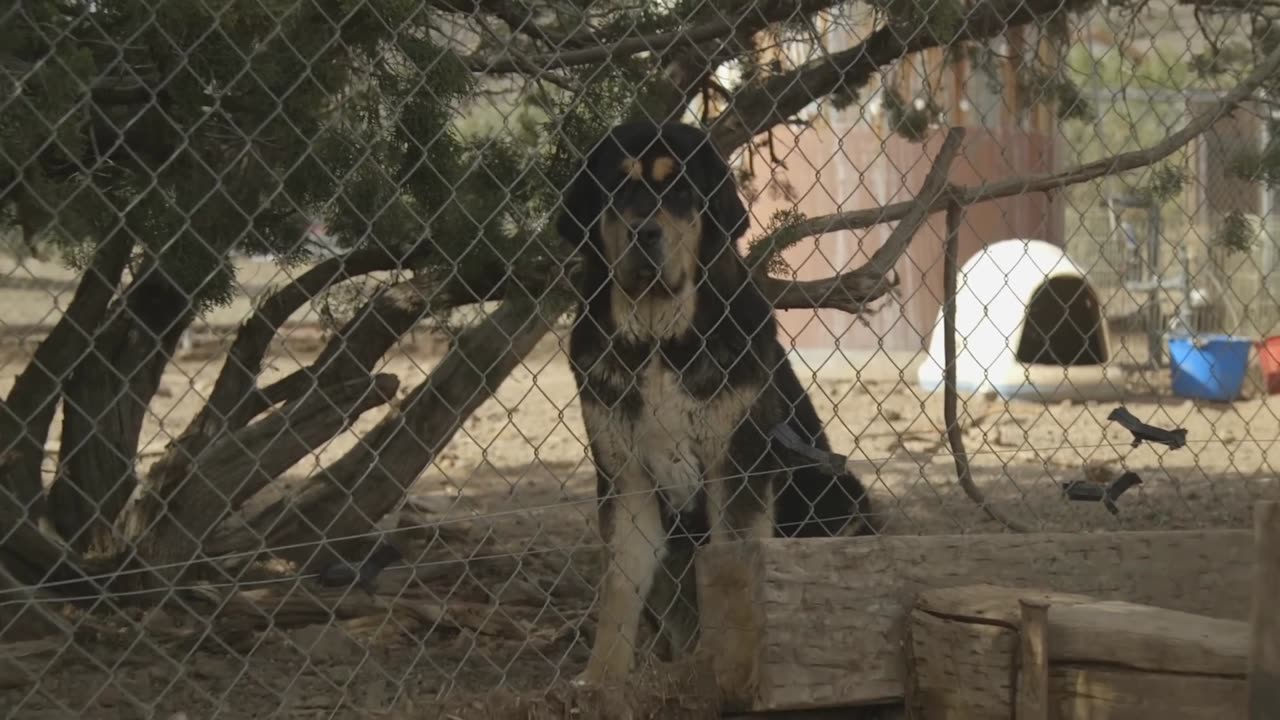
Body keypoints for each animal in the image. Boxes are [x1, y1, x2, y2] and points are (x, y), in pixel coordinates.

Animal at [558, 119, 870, 681]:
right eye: (617, 189)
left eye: (681, 191)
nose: (644, 232)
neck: (659, 341)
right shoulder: (626, 475)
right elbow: (619, 590)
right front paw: (601, 680)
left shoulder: (735, 466)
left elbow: (731, 567)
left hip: (840, 495)